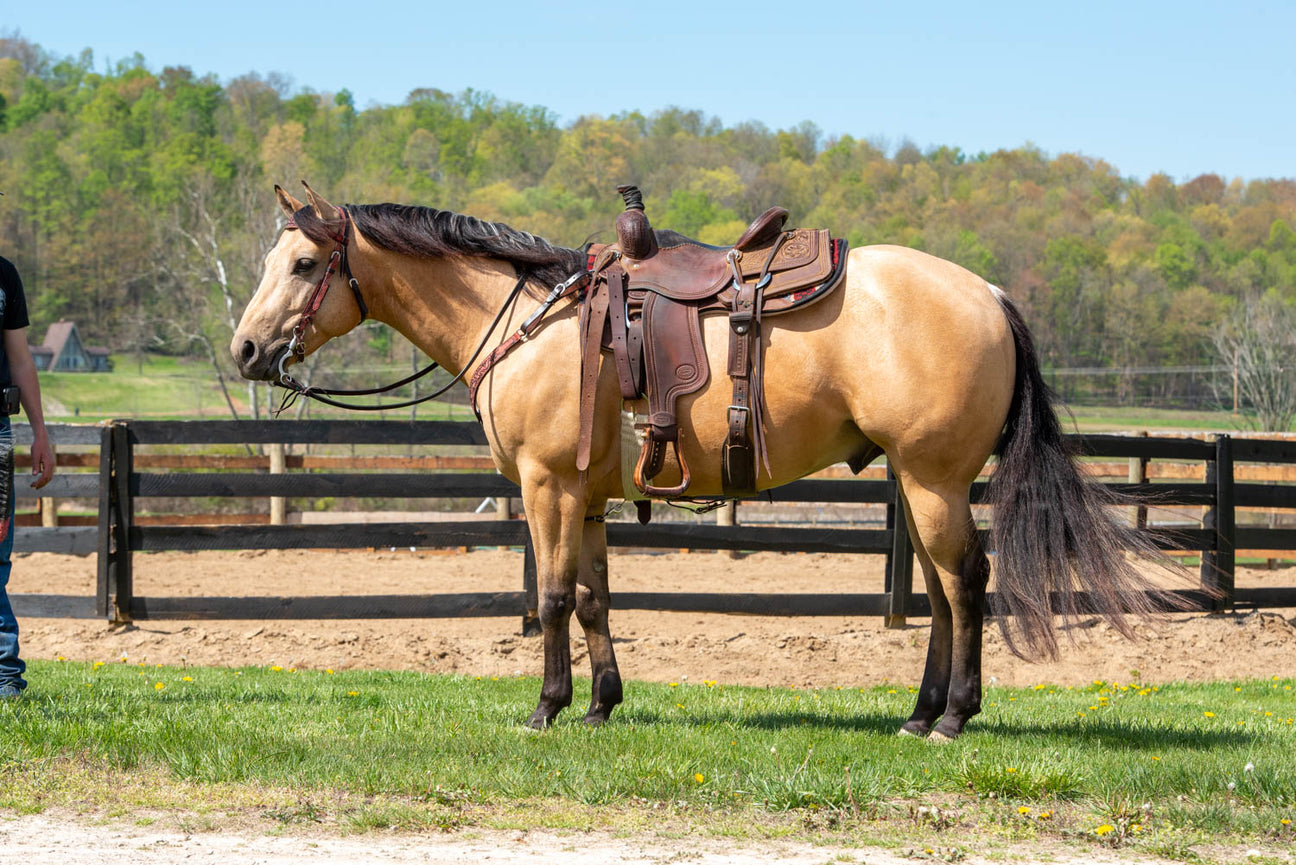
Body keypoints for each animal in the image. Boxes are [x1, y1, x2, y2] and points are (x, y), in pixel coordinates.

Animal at [230, 182, 1176, 736]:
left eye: (306, 262)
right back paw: (918, 714)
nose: (243, 349)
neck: (535, 321)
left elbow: (551, 596)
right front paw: (602, 704)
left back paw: (952, 718)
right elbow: (594, 598)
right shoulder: (590, 496)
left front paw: (547, 707)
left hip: (935, 479)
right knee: (943, 594)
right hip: (915, 483)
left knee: (965, 583)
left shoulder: (547, 486)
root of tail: (990, 294)